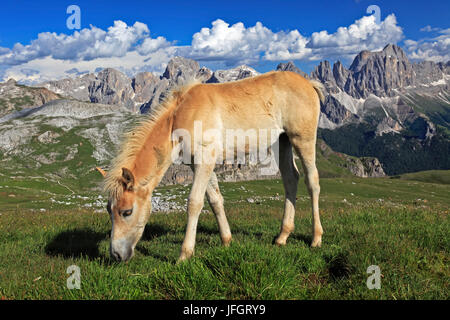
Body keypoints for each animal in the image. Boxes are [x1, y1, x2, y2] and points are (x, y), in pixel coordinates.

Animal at [98, 72, 324, 262]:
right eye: (109, 209)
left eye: (127, 211)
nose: (116, 255)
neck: (180, 117)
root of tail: (308, 83)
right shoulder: (197, 164)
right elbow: (215, 200)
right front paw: (226, 240)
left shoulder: (205, 159)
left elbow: (194, 203)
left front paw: (185, 254)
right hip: (282, 142)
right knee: (291, 178)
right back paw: (282, 236)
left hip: (302, 139)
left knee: (312, 181)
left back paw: (316, 239)